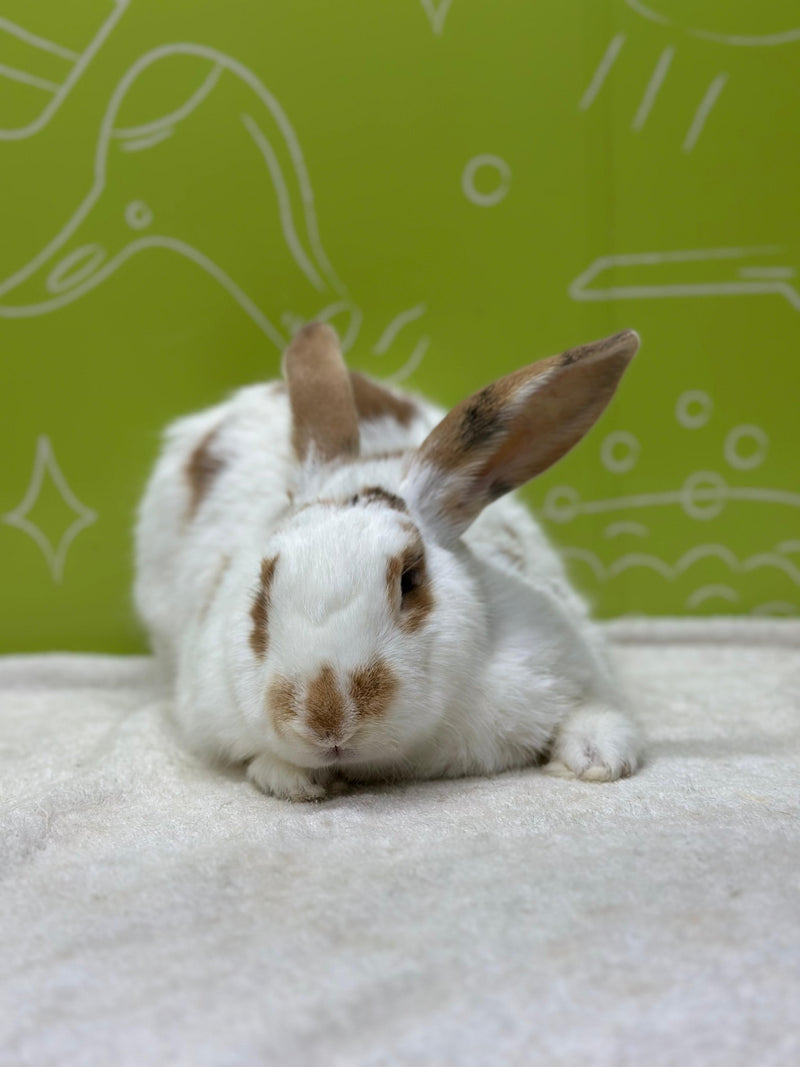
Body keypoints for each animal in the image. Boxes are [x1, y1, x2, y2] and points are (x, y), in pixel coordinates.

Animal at [134, 322, 642, 800]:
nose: (327, 720)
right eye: (264, 585)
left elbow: (592, 712)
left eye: (409, 580)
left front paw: (599, 760)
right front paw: (294, 780)